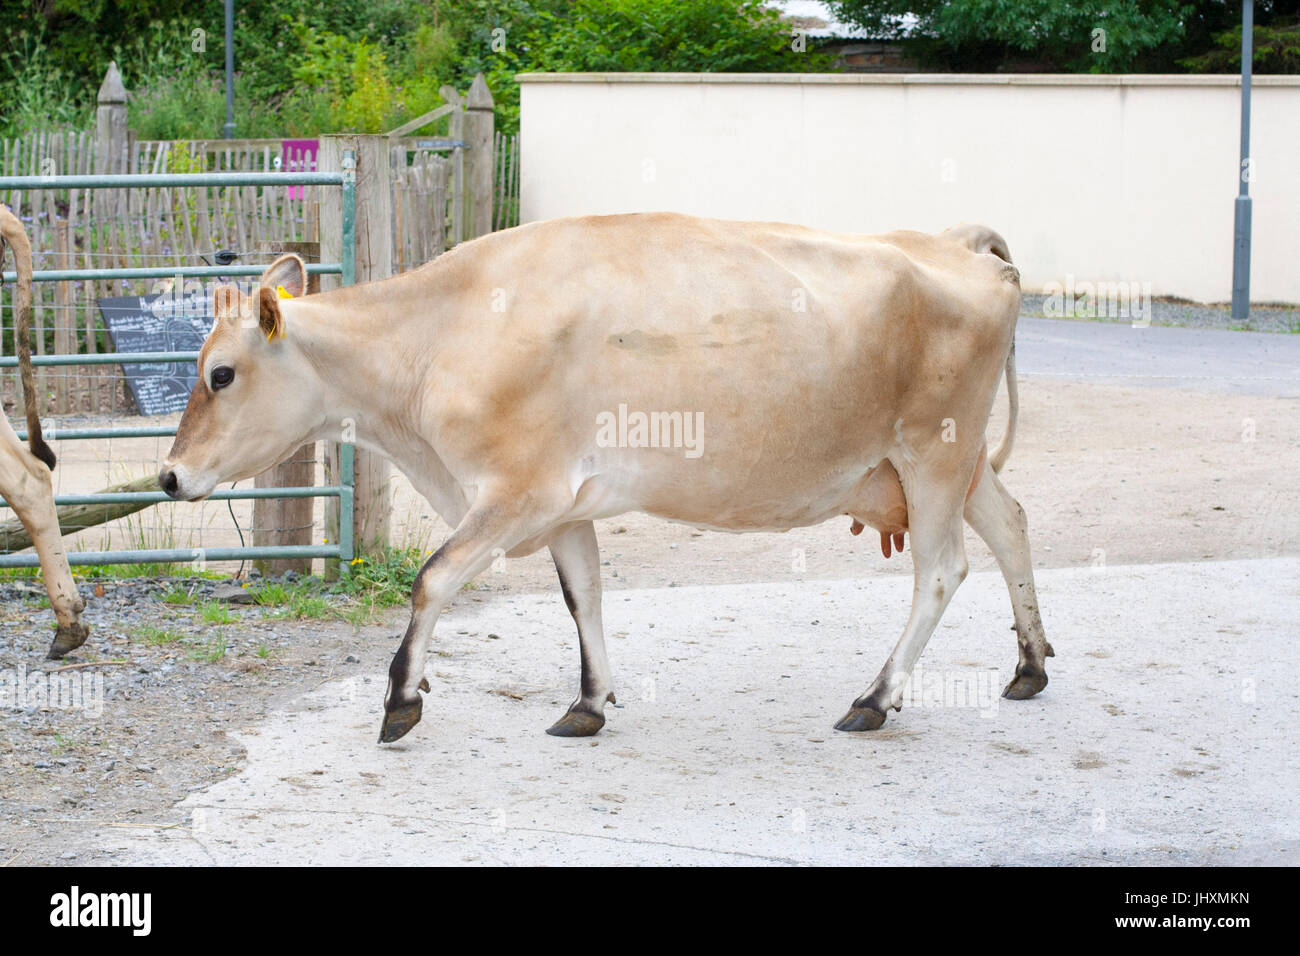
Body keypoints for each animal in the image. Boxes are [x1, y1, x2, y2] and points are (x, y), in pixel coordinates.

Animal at [159, 212, 1053, 743]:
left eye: (221, 375)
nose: (167, 478)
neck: (441, 333)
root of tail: (958, 240)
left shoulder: (517, 493)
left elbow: (433, 579)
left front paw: (401, 700)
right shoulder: (566, 507)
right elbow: (582, 595)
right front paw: (588, 702)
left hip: (933, 453)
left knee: (942, 568)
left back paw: (875, 697)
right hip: (952, 462)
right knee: (1011, 524)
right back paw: (1030, 667)